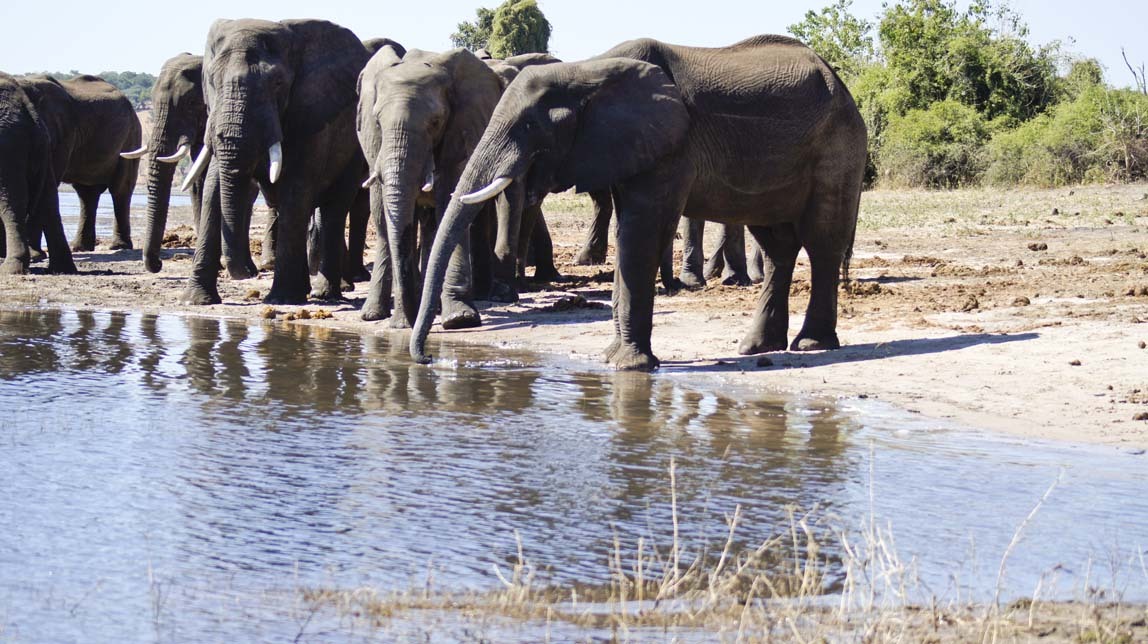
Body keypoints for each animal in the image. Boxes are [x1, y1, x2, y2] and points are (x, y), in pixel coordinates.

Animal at [0, 71, 75, 272]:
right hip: (42, 147)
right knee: (48, 202)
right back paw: (62, 268)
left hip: (9, 147)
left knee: (11, 203)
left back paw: (12, 267)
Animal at [19, 73, 142, 251]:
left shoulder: (63, 133)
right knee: (87, 194)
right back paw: (80, 247)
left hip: (131, 137)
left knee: (120, 189)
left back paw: (119, 246)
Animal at [180, 17, 367, 303]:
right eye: (211, 81)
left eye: (278, 83)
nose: (247, 274)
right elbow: (213, 187)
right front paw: (196, 300)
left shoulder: (311, 114)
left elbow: (296, 187)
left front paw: (282, 299)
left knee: (333, 209)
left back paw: (325, 293)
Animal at [408, 36, 863, 371]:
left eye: (529, 125)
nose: (427, 358)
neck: (587, 69)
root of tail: (843, 85)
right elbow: (629, 226)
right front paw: (614, 362)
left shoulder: (670, 144)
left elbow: (640, 232)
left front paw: (628, 367)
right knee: (777, 246)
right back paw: (755, 347)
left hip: (837, 149)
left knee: (821, 242)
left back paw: (811, 345)